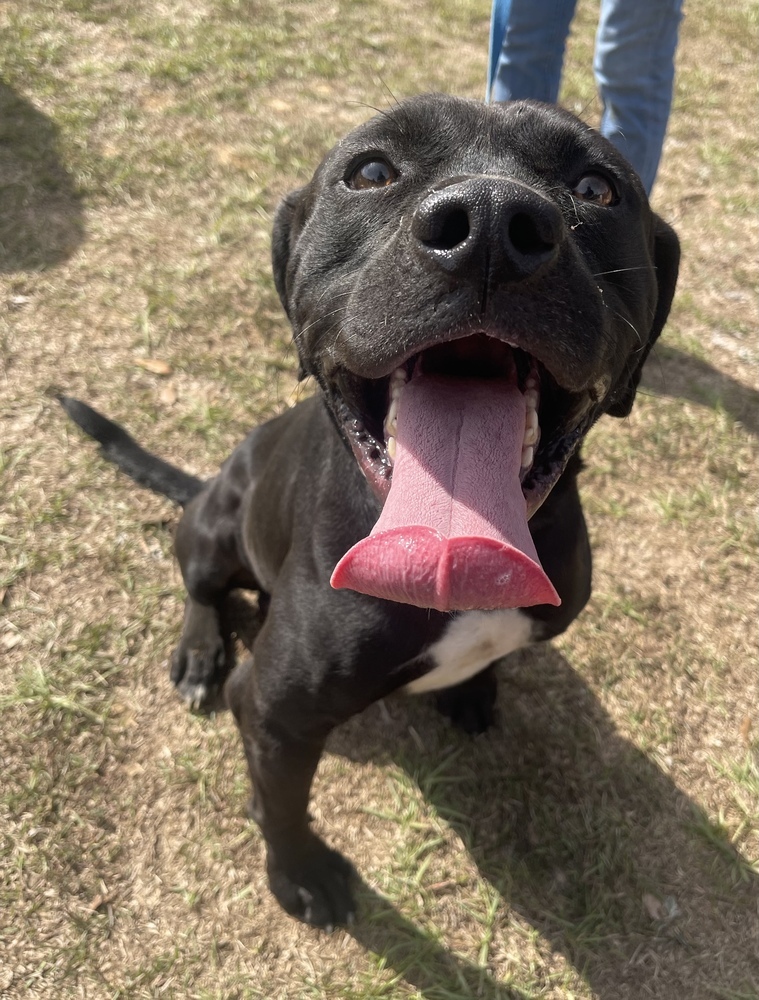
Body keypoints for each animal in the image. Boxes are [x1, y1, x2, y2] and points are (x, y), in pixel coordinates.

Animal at [62, 94, 680, 928]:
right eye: (371, 172)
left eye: (596, 187)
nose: (491, 223)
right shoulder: (273, 712)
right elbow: (282, 805)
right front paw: (298, 874)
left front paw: (473, 686)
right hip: (215, 521)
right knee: (198, 583)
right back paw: (197, 651)